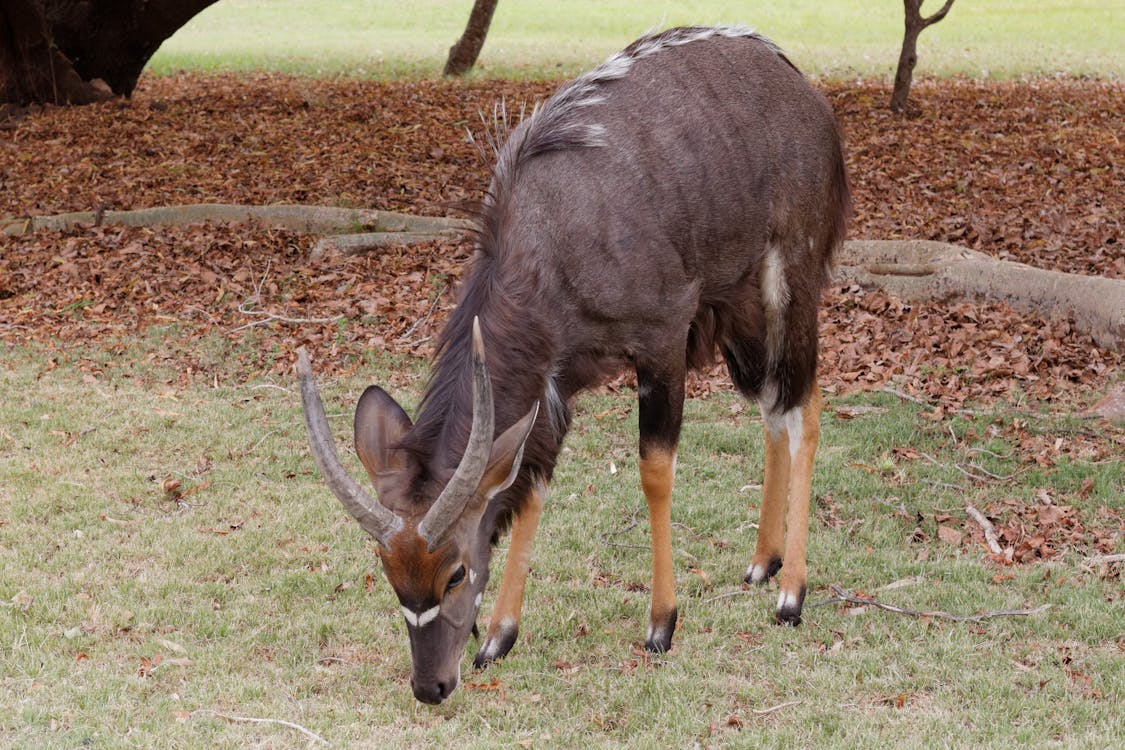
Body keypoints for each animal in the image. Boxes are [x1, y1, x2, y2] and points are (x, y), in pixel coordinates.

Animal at [294, 23, 846, 706]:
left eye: (455, 572)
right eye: (390, 573)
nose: (431, 686)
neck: (553, 236)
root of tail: (807, 90)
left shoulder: (662, 342)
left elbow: (654, 471)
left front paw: (661, 624)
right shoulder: (558, 381)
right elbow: (531, 487)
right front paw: (499, 637)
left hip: (789, 283)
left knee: (804, 404)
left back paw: (791, 593)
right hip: (741, 314)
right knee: (773, 406)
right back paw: (761, 562)